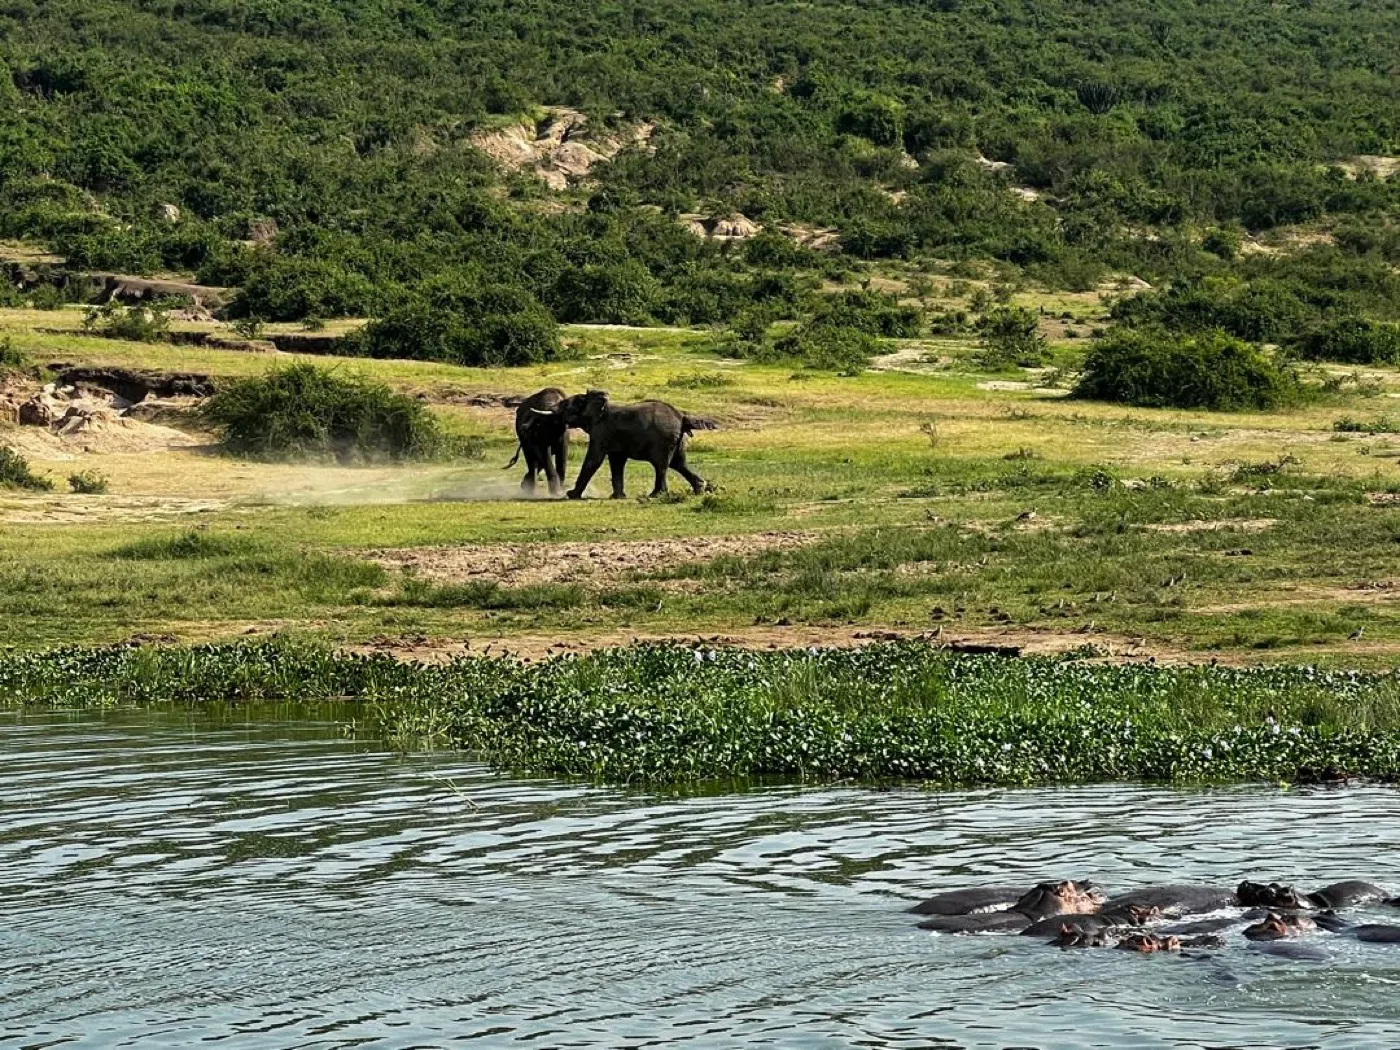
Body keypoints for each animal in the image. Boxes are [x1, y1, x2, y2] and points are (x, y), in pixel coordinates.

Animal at [533, 389, 717, 500]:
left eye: (566, 405)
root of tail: (681, 416)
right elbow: (616, 462)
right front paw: (617, 497)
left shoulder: (601, 431)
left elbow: (593, 460)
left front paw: (572, 495)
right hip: (676, 440)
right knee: (678, 463)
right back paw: (699, 489)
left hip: (663, 439)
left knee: (661, 465)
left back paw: (655, 495)